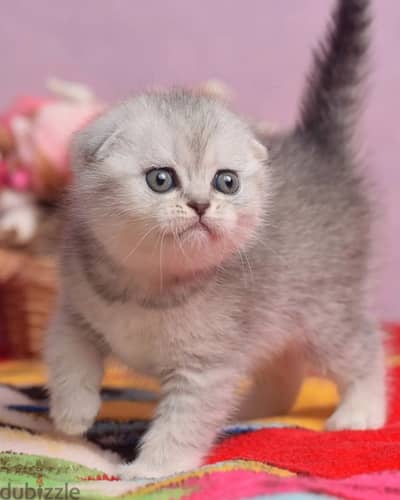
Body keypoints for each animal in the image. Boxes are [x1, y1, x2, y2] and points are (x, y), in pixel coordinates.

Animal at [44, 0, 388, 478]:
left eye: (226, 181)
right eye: (161, 179)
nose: (201, 205)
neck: (149, 288)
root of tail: (319, 149)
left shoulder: (206, 368)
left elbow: (181, 424)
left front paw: (150, 469)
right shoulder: (76, 308)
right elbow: (67, 353)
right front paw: (73, 413)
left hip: (324, 313)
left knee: (365, 348)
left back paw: (360, 411)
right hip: (276, 319)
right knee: (286, 373)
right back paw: (252, 412)